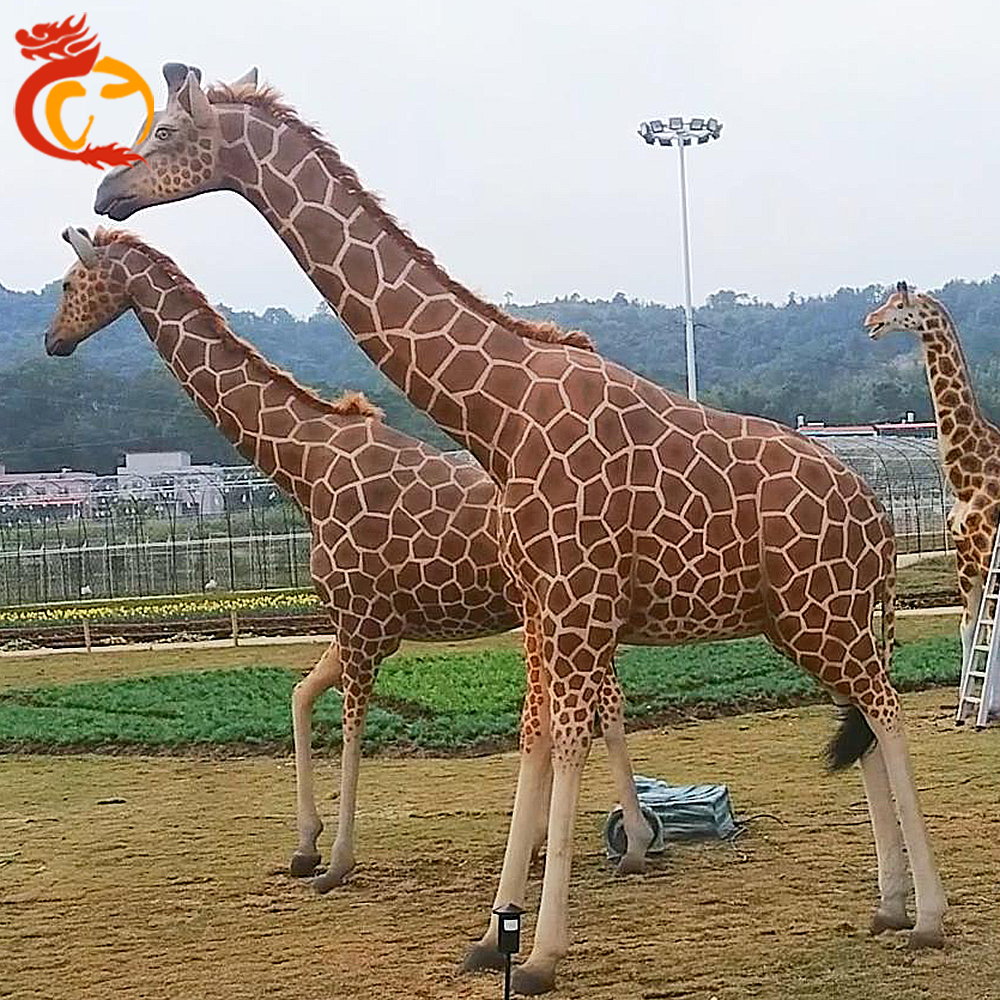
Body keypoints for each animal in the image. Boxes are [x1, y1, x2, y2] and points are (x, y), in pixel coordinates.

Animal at [42, 225, 652, 889]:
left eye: (68, 284)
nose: (52, 340)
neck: (304, 466)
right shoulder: (355, 625)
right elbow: (300, 696)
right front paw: (304, 845)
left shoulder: (363, 627)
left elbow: (353, 727)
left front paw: (335, 860)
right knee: (604, 704)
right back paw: (608, 840)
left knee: (602, 705)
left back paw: (626, 841)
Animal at [866, 281, 1000, 717]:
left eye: (898, 305)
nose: (870, 321)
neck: (967, 474)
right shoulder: (965, 560)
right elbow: (970, 629)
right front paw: (969, 707)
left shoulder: (988, 554)